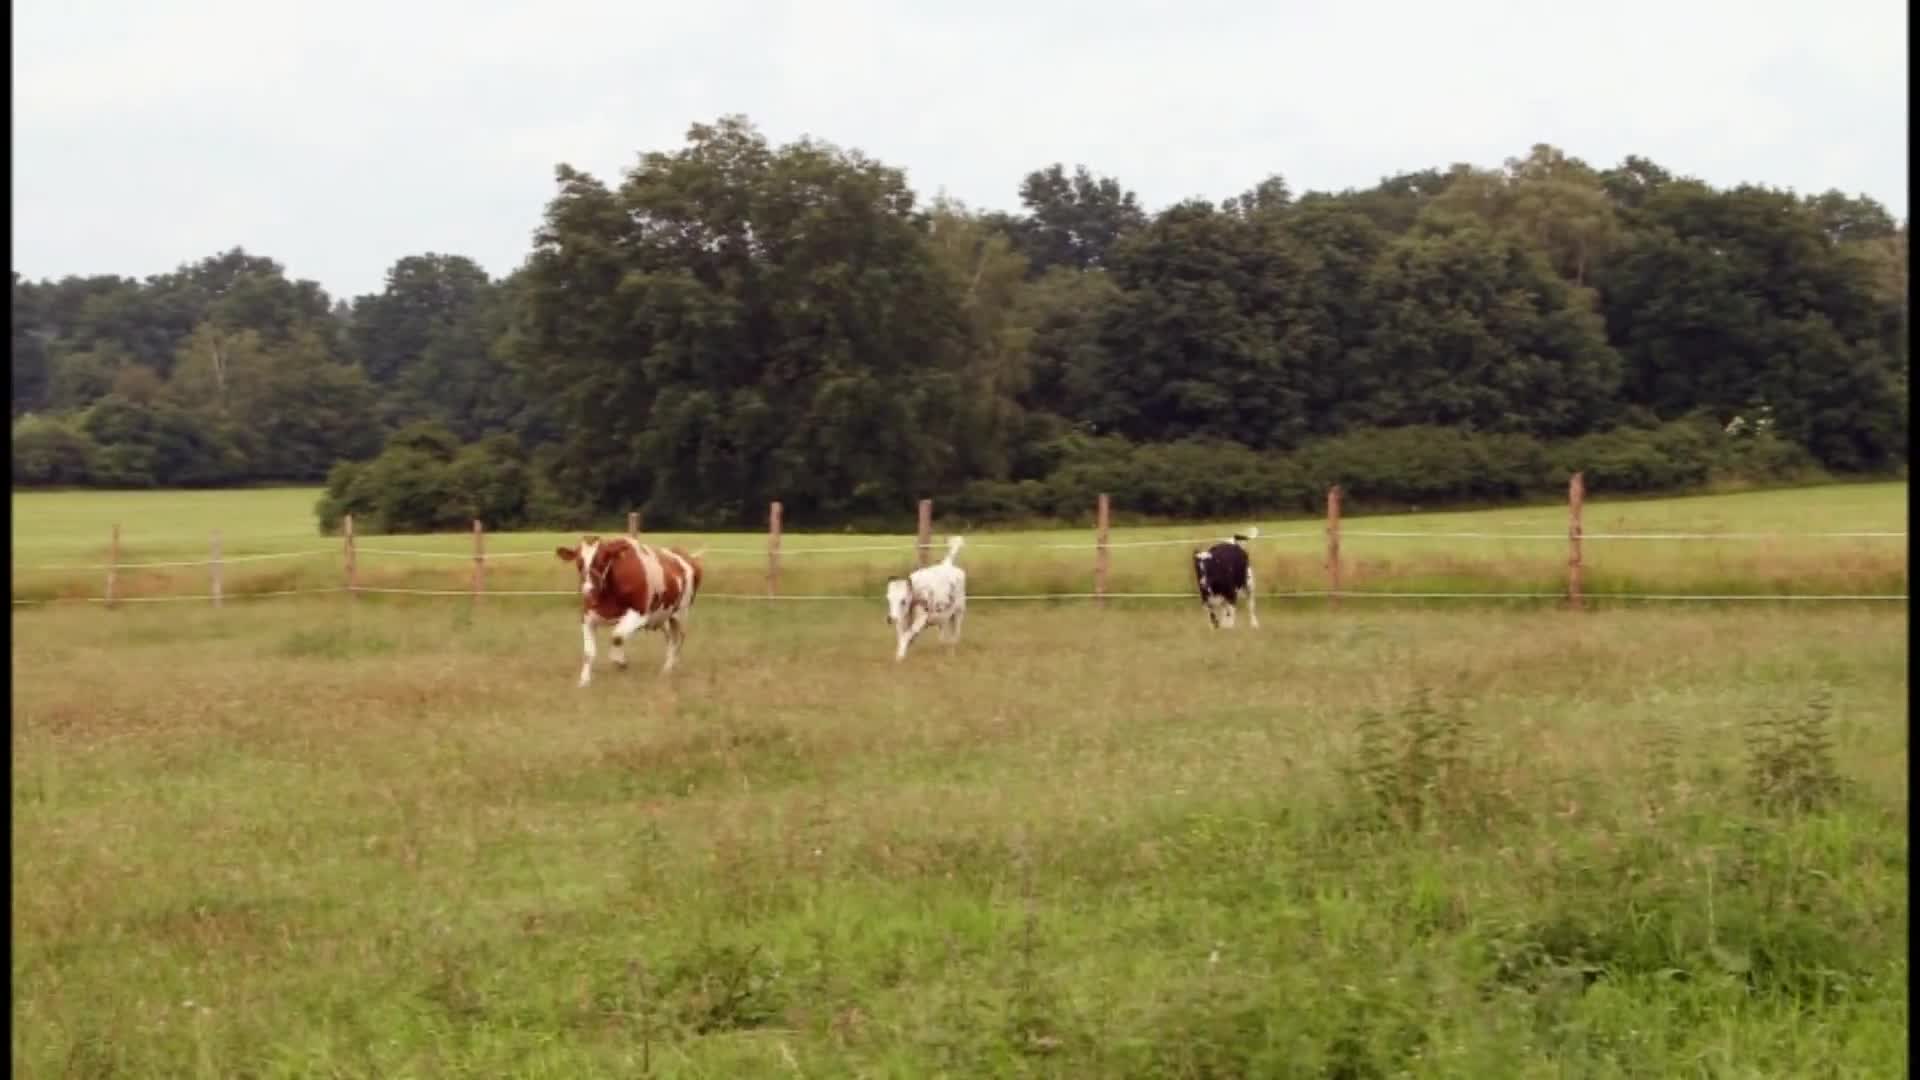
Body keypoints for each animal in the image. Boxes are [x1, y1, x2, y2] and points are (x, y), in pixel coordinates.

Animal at [556, 534, 706, 684]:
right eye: (579, 561)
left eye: (603, 559)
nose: (588, 590)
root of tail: (686, 556)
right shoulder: (587, 617)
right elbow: (589, 652)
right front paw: (584, 681)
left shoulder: (640, 614)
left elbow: (617, 636)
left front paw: (619, 660)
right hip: (663, 617)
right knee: (669, 638)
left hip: (681, 614)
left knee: (678, 640)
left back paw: (668, 669)